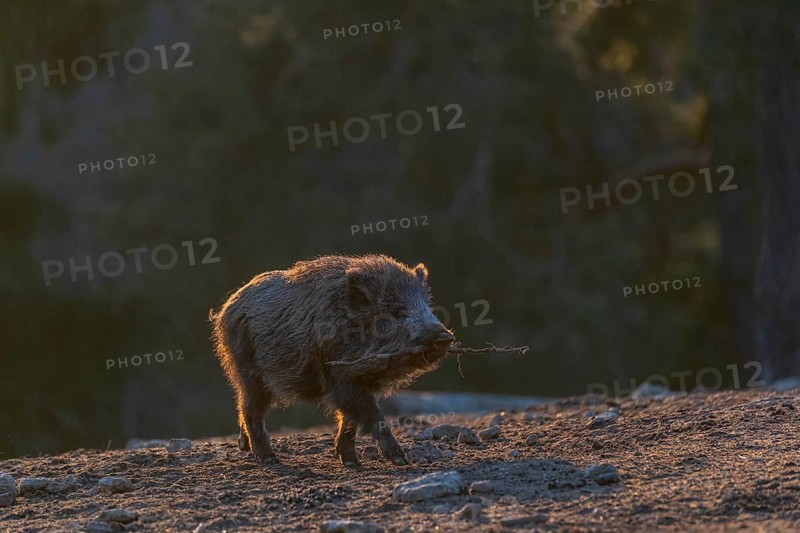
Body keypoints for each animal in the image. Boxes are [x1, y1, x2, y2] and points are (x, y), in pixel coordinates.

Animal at [210, 254, 455, 467]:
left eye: (427, 306)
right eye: (397, 312)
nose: (446, 336)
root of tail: (226, 308)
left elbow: (349, 420)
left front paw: (351, 462)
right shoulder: (339, 379)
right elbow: (370, 415)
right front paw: (401, 460)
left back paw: (245, 447)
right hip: (248, 369)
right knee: (250, 409)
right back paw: (269, 458)